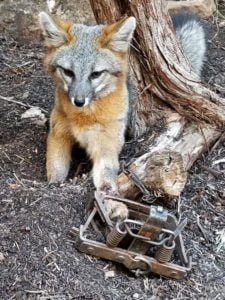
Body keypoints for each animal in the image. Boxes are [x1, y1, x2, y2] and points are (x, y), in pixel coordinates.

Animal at [38, 10, 206, 219]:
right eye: (68, 72)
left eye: (95, 74)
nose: (79, 101)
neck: (84, 118)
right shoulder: (58, 134)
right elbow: (56, 168)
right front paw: (54, 185)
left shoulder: (106, 144)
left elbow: (107, 179)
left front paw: (112, 202)